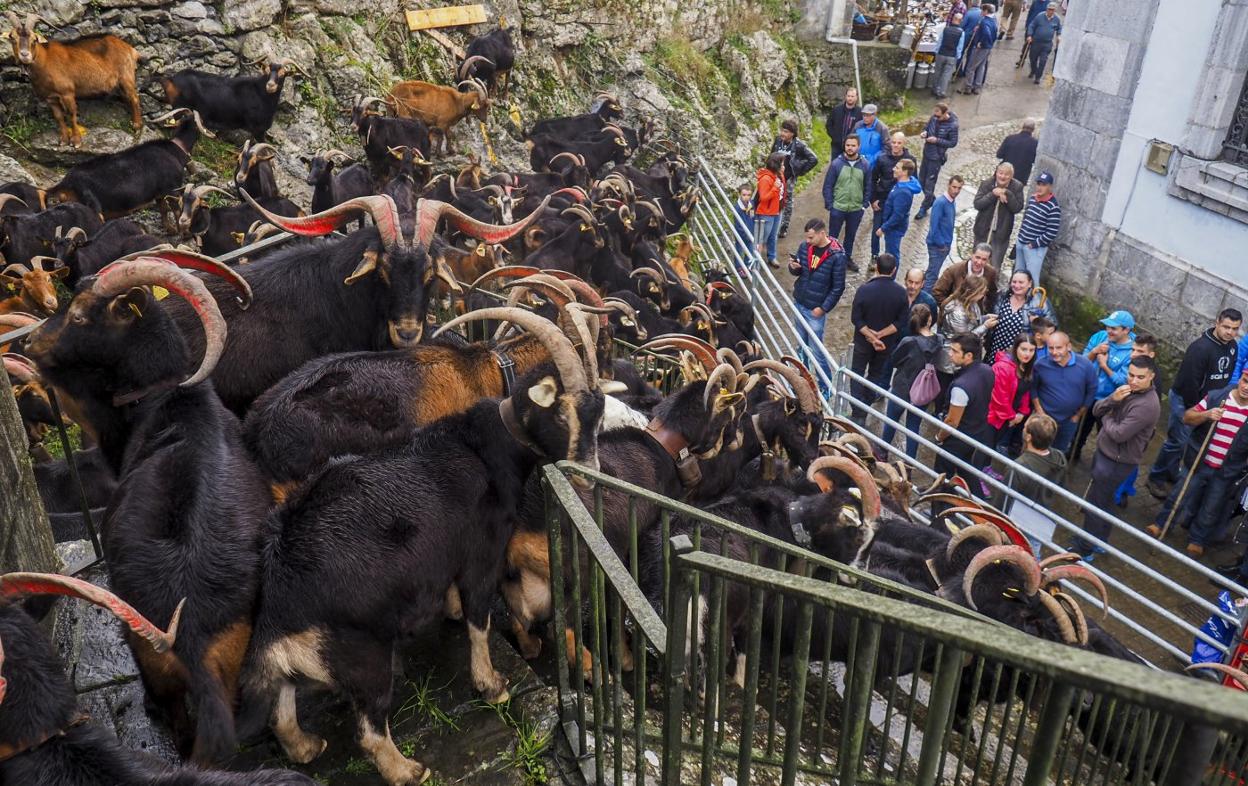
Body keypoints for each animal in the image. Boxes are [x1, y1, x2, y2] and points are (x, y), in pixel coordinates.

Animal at [3, 11, 142, 147]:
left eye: (34, 39)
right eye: (12, 37)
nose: (25, 55)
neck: (45, 60)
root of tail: (130, 49)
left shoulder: (67, 92)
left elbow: (71, 113)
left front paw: (76, 141)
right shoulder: (50, 97)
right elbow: (58, 116)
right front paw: (63, 140)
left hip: (126, 76)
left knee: (134, 97)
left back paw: (137, 125)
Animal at [23, 255, 270, 768]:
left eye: (81, 315)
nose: (30, 342)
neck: (172, 401)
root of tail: (192, 637)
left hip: (150, 656)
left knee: (176, 716)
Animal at [46, 108, 209, 218]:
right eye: (200, 121)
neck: (174, 148)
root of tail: (65, 184)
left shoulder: (159, 194)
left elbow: (163, 213)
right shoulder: (173, 188)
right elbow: (176, 211)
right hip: (92, 205)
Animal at [159, 57, 300, 139]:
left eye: (283, 74)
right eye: (266, 71)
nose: (270, 85)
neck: (260, 94)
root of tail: (171, 79)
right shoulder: (257, 129)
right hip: (180, 107)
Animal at [244, 309, 604, 786]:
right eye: (564, 414)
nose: (588, 474)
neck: (486, 443)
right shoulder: (481, 555)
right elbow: (479, 619)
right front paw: (492, 685)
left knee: (282, 707)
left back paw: (306, 746)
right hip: (363, 654)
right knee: (369, 729)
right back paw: (408, 770)